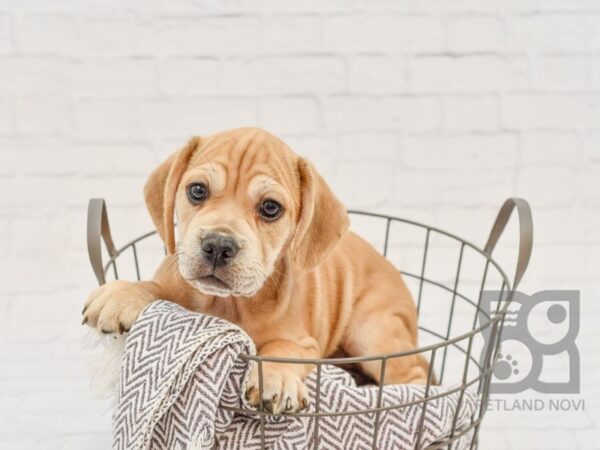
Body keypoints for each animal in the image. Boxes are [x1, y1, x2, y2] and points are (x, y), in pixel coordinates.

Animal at [84, 126, 428, 414]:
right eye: (197, 190)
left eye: (270, 208)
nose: (218, 245)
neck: (227, 304)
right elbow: (155, 288)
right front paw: (123, 293)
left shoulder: (306, 344)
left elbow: (282, 347)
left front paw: (277, 379)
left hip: (373, 332)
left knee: (417, 374)